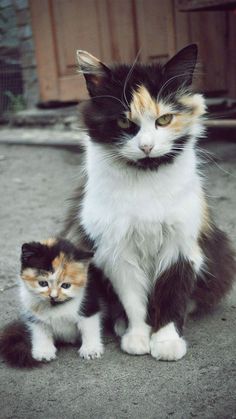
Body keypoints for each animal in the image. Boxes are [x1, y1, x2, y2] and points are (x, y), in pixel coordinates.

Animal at [0, 238, 111, 370]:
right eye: (43, 283)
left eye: (66, 285)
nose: (53, 296)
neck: (56, 306)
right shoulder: (31, 311)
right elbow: (40, 330)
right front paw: (43, 352)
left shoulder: (90, 303)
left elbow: (89, 327)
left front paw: (90, 349)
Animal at [63, 44, 236, 362]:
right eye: (124, 121)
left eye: (164, 120)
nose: (146, 146)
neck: (145, 180)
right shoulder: (117, 251)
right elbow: (134, 302)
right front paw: (138, 337)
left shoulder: (180, 246)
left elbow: (170, 296)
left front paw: (166, 341)